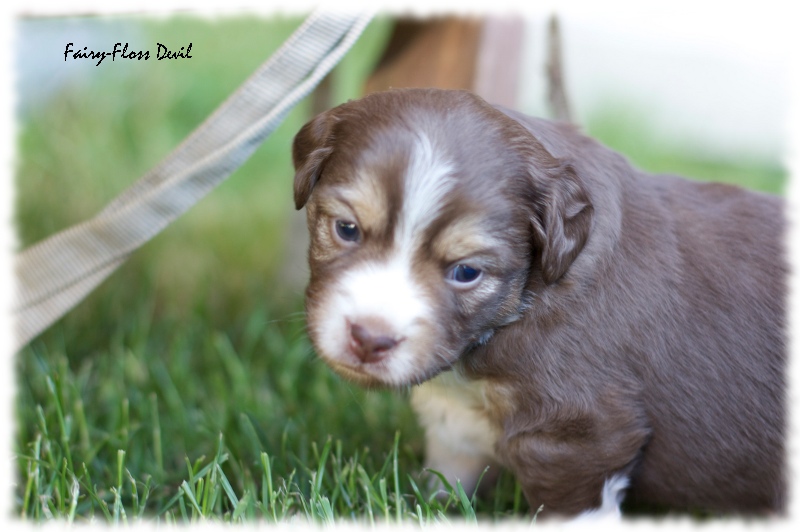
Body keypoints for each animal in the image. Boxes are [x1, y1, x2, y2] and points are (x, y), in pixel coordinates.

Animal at [290, 89, 784, 516]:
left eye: (466, 272)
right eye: (347, 229)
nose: (369, 338)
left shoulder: (582, 434)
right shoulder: (457, 418)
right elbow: (447, 474)